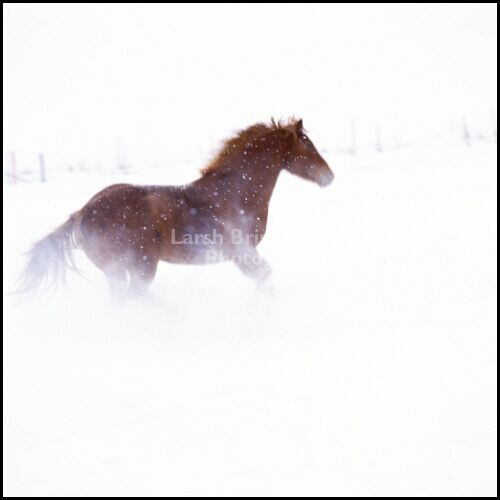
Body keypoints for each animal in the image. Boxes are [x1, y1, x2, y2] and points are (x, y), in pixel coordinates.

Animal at [22, 118, 336, 296]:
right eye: (307, 144)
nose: (329, 176)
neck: (235, 192)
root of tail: (83, 213)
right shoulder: (241, 252)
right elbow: (265, 280)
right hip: (140, 267)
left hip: (118, 271)